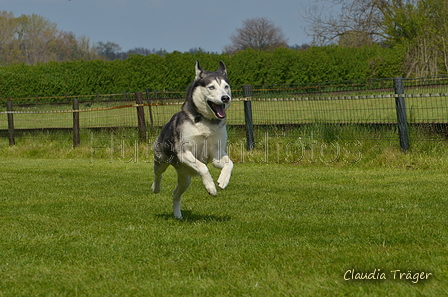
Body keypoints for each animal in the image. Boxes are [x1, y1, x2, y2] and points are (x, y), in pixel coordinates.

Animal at [152, 60, 233, 217]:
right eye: (211, 87)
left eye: (226, 86)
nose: (225, 98)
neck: (206, 122)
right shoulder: (184, 152)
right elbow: (203, 167)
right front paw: (210, 187)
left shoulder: (217, 154)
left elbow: (229, 164)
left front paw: (223, 181)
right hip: (161, 159)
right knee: (158, 174)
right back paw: (155, 188)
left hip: (185, 179)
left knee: (175, 194)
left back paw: (177, 215)